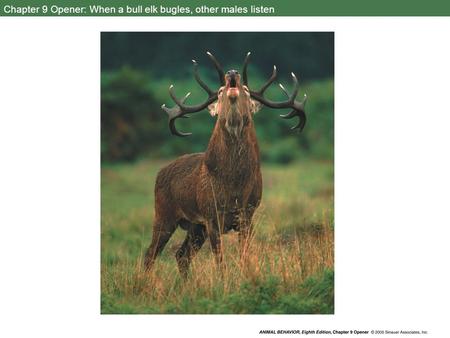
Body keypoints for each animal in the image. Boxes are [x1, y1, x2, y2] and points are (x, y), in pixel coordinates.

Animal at [144, 50, 306, 278]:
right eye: (220, 90)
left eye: (246, 89)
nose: (232, 72)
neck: (234, 185)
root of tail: (160, 172)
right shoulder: (211, 215)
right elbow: (220, 261)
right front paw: (223, 282)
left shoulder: (248, 213)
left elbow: (244, 256)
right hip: (164, 213)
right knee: (150, 254)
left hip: (195, 226)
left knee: (181, 255)